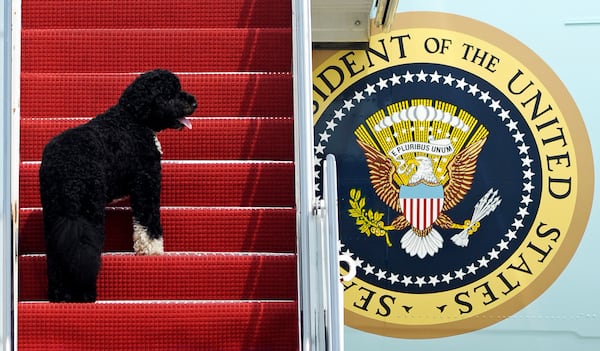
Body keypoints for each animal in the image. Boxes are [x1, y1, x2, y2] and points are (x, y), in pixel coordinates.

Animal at [39, 69, 197, 302]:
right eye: (171, 93)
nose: (194, 102)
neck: (133, 117)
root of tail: (67, 172)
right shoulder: (146, 182)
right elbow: (148, 222)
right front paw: (152, 250)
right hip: (90, 210)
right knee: (86, 252)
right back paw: (86, 295)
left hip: (54, 212)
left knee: (58, 257)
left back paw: (60, 295)